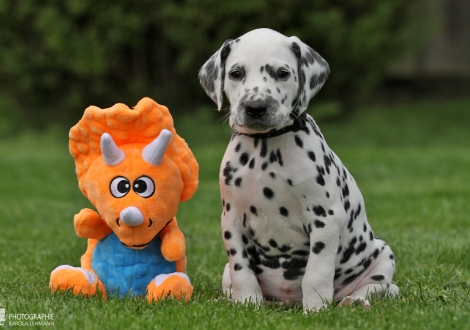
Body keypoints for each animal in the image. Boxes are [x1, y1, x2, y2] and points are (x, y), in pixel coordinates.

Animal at [196, 28, 398, 312]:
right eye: (235, 73)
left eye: (282, 73)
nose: (255, 107)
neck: (265, 148)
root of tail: (286, 301)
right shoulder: (231, 220)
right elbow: (242, 270)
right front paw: (247, 304)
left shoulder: (325, 218)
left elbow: (317, 272)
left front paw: (316, 309)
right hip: (226, 270)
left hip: (382, 256)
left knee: (378, 287)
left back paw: (355, 301)